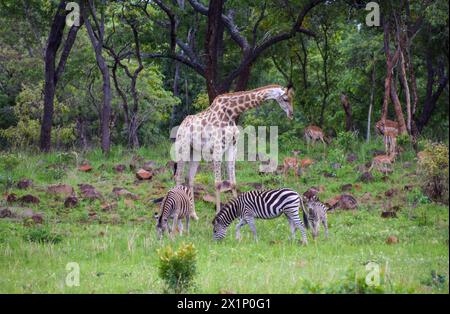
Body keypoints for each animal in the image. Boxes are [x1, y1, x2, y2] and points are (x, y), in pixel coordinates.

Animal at [174, 84, 294, 215]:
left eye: (292, 98)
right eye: (286, 99)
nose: (291, 114)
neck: (231, 113)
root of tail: (180, 126)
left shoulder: (232, 146)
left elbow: (233, 182)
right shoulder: (217, 148)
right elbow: (218, 184)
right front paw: (217, 213)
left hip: (195, 152)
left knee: (189, 179)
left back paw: (193, 215)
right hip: (183, 148)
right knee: (179, 177)